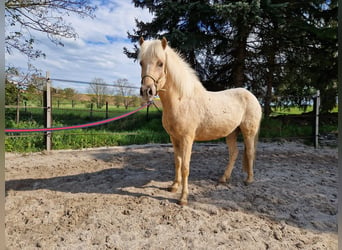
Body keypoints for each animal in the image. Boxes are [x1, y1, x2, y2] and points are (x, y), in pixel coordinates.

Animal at [139, 37, 262, 205]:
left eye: (160, 63)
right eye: (141, 63)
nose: (147, 91)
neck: (181, 100)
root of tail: (252, 96)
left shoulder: (187, 139)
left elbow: (185, 167)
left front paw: (183, 198)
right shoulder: (174, 138)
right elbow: (177, 162)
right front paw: (174, 186)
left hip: (248, 132)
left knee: (249, 153)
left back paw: (249, 180)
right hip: (231, 133)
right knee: (234, 153)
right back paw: (223, 178)